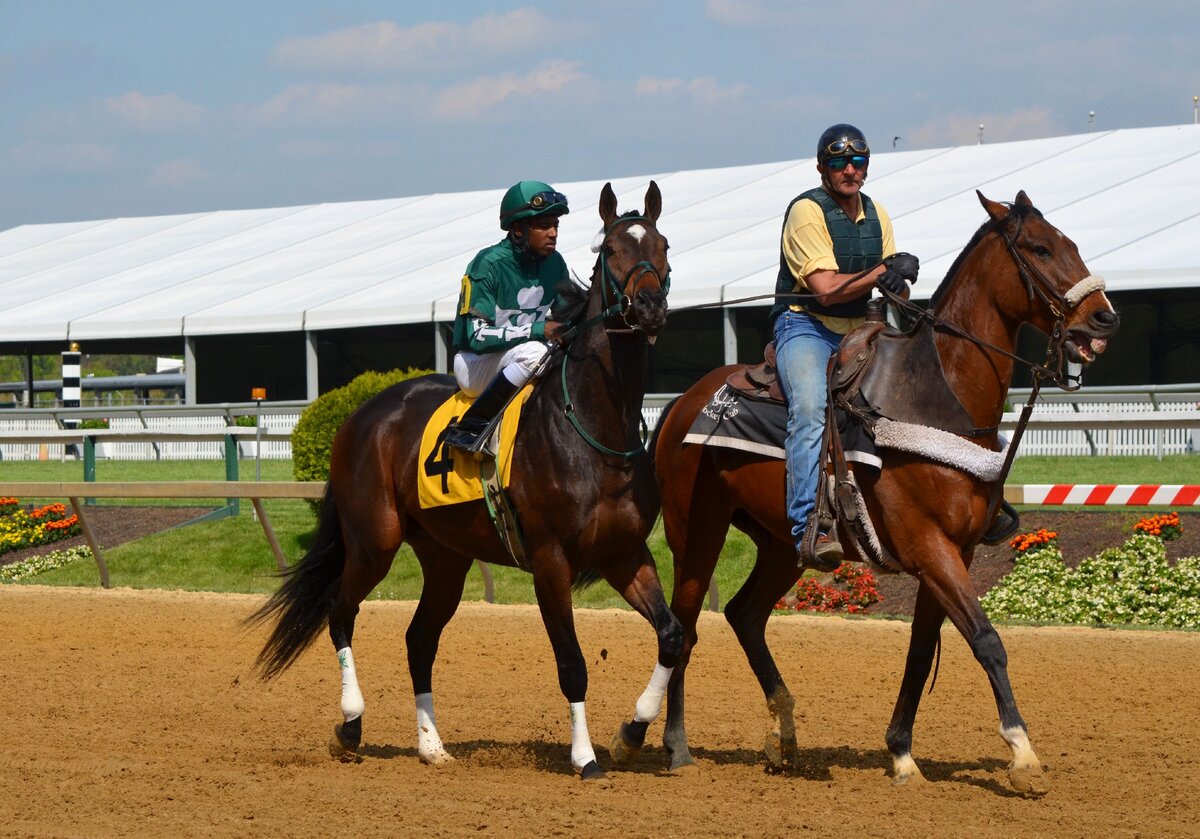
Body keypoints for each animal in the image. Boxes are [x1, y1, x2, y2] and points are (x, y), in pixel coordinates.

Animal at [248, 183, 681, 782]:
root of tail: (363, 413)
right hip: (374, 541)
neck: (595, 429)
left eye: (663, 245)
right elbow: (572, 664)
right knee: (340, 609)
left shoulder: (624, 552)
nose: (649, 307)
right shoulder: (550, 560)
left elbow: (670, 636)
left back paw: (431, 745)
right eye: (611, 249)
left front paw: (631, 734)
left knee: (418, 639)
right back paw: (350, 726)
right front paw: (585, 756)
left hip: (445, 557)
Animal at [643, 190, 1118, 792]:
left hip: (782, 546)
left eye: (1070, 242)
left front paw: (902, 753)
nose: (1105, 316)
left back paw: (784, 736)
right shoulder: (928, 547)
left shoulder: (955, 552)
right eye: (1039, 247)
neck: (934, 394)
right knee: (682, 628)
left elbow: (921, 650)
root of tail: (681, 404)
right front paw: (1023, 754)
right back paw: (673, 744)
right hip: (697, 531)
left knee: (744, 615)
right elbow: (986, 640)